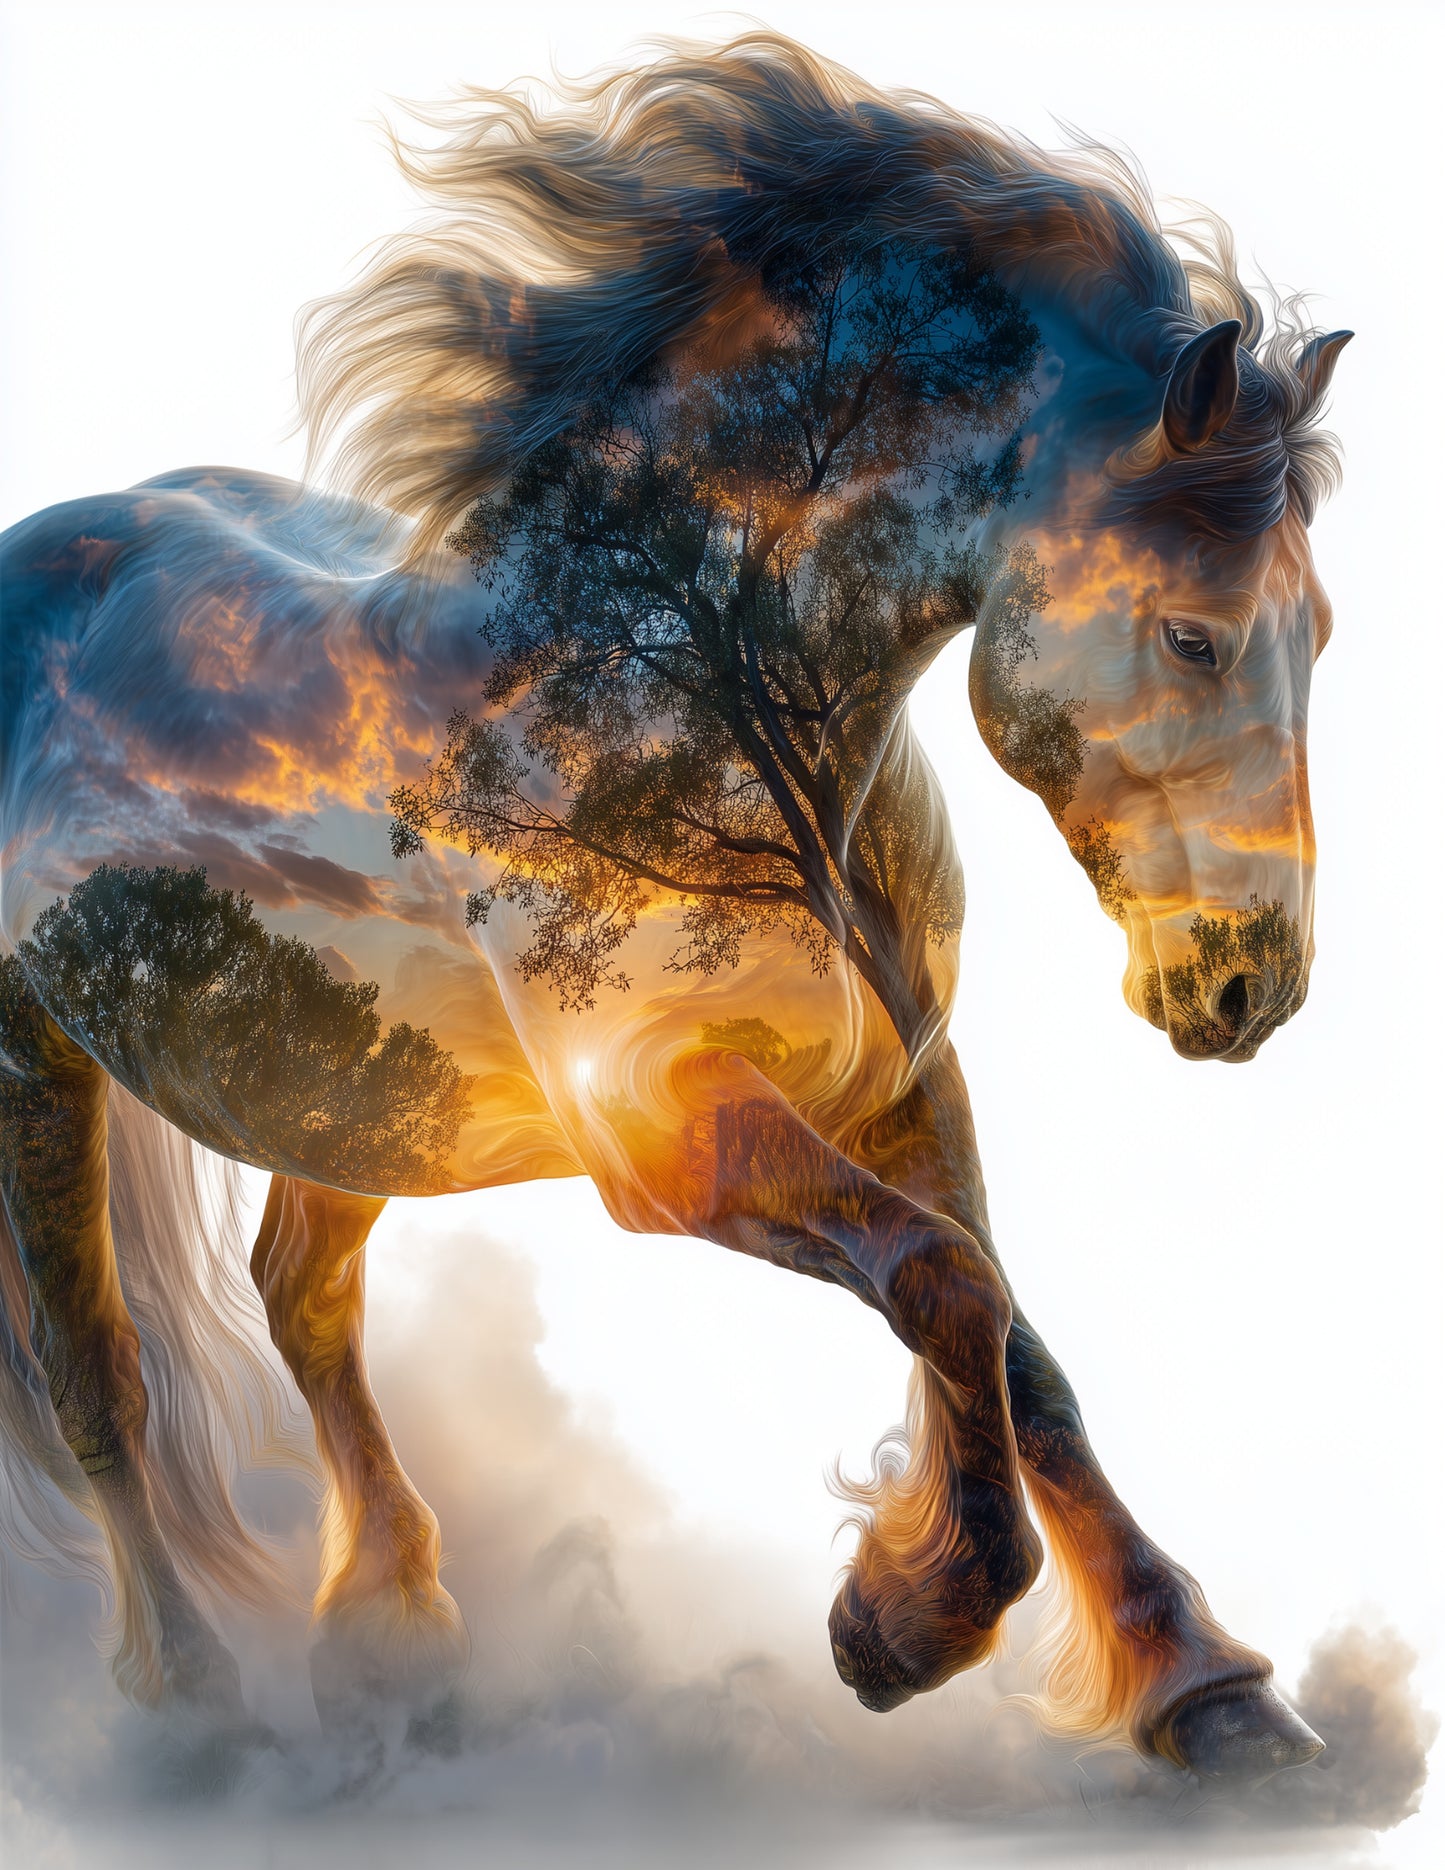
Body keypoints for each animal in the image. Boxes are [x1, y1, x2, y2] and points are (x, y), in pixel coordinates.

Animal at [0, 33, 1349, 1779]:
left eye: (1320, 627)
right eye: (1192, 635)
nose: (1250, 986)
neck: (709, 695)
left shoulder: (903, 1080)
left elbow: (1014, 1343)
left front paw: (1208, 1690)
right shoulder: (657, 1125)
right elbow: (943, 1284)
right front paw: (900, 1628)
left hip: (348, 1085)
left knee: (300, 1296)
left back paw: (392, 1638)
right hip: (41, 1062)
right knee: (98, 1376)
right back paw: (197, 1706)